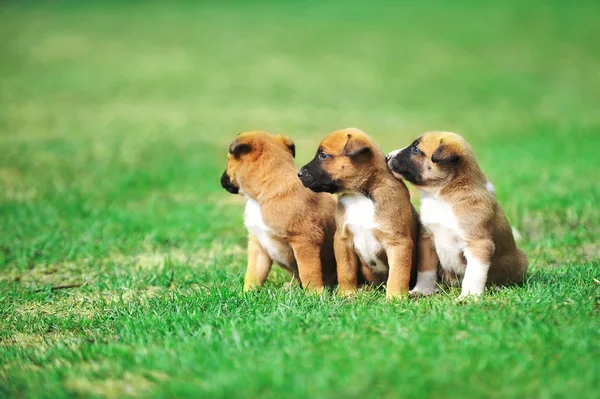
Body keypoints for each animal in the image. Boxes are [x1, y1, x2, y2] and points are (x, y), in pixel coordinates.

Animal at [220, 133, 338, 292]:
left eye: (228, 160)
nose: (221, 180)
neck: (261, 196)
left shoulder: (305, 242)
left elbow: (309, 272)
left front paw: (314, 293)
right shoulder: (258, 246)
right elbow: (253, 274)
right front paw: (246, 293)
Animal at [298, 128, 420, 300]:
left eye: (323, 155)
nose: (299, 173)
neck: (361, 195)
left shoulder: (398, 243)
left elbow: (398, 274)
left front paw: (395, 298)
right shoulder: (343, 240)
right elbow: (345, 271)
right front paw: (346, 293)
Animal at [386, 132, 528, 300]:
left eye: (415, 149)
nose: (387, 156)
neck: (442, 196)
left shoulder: (478, 244)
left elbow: (473, 275)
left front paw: (468, 297)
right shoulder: (427, 239)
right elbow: (425, 270)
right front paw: (422, 290)